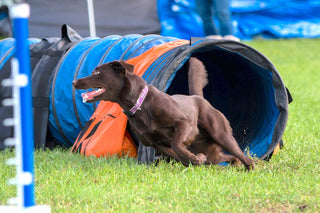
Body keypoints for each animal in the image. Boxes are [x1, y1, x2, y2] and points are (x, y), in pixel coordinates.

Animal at [73, 58, 255, 170]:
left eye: (97, 73)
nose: (74, 82)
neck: (140, 105)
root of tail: (199, 99)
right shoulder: (155, 144)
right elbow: (176, 153)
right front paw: (195, 160)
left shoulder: (183, 123)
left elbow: (176, 144)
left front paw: (195, 159)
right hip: (212, 153)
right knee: (226, 158)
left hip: (221, 134)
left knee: (242, 156)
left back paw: (250, 168)